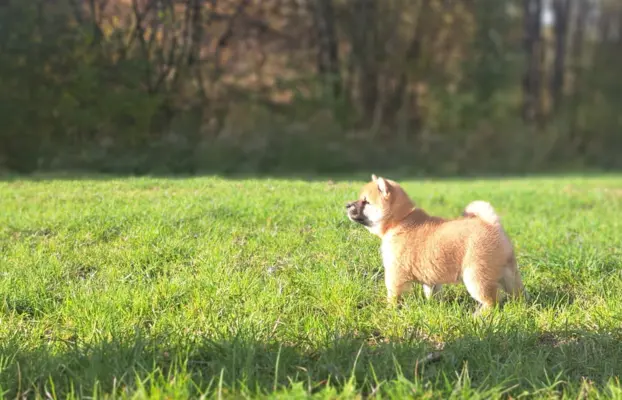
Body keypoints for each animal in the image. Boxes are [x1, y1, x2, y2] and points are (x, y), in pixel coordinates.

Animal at [346, 175, 528, 312]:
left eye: (366, 202)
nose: (347, 205)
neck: (400, 220)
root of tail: (491, 224)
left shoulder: (395, 273)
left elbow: (393, 295)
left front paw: (390, 309)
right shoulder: (430, 277)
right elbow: (432, 293)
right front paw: (433, 306)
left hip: (476, 275)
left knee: (493, 300)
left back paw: (479, 315)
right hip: (509, 272)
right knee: (516, 292)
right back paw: (519, 306)